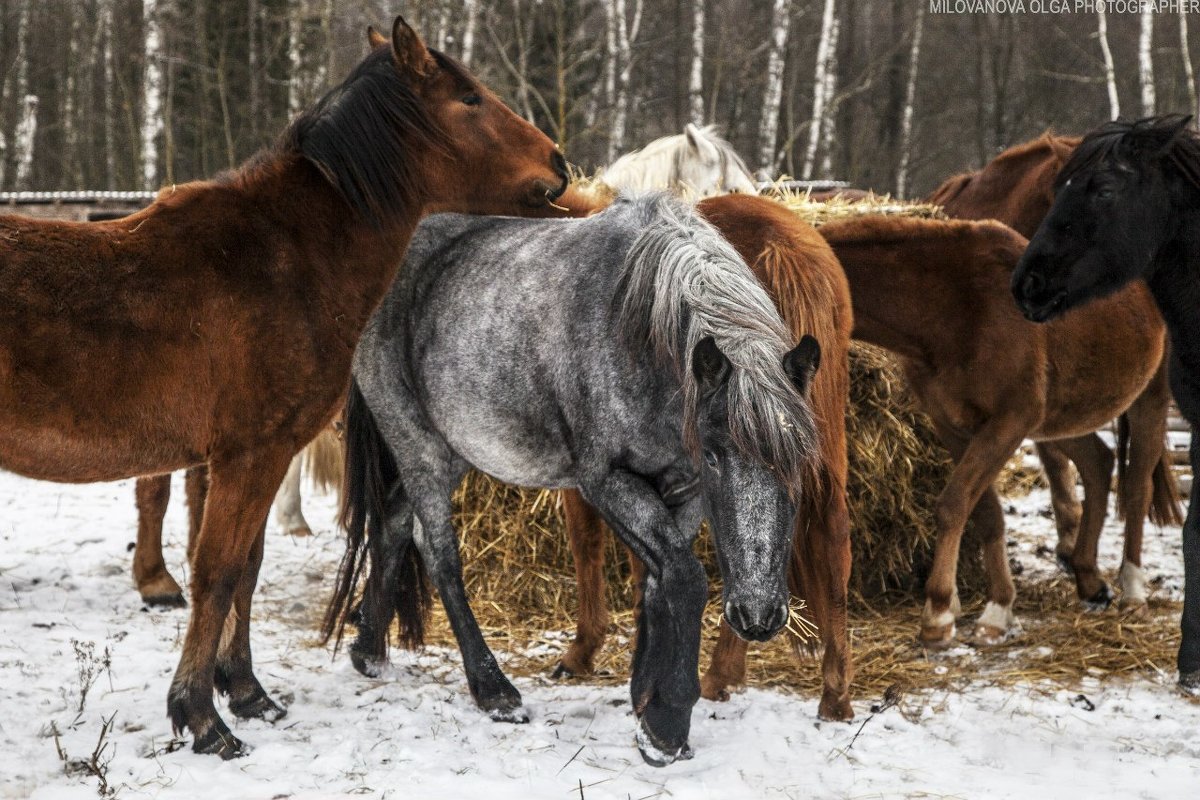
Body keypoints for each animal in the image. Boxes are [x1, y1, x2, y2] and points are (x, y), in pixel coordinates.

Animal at [0, 18, 566, 758]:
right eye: (469, 98)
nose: (559, 162)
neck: (287, 257)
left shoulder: (263, 456)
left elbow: (248, 567)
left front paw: (244, 692)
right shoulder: (249, 454)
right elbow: (217, 571)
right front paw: (201, 717)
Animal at [324, 195, 820, 767]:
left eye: (801, 460)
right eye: (716, 457)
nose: (758, 614)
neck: (639, 332)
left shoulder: (682, 488)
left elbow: (658, 581)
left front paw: (644, 698)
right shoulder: (607, 480)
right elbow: (684, 578)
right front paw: (666, 723)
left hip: (451, 452)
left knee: (394, 522)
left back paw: (369, 651)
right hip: (417, 444)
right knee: (438, 552)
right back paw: (494, 691)